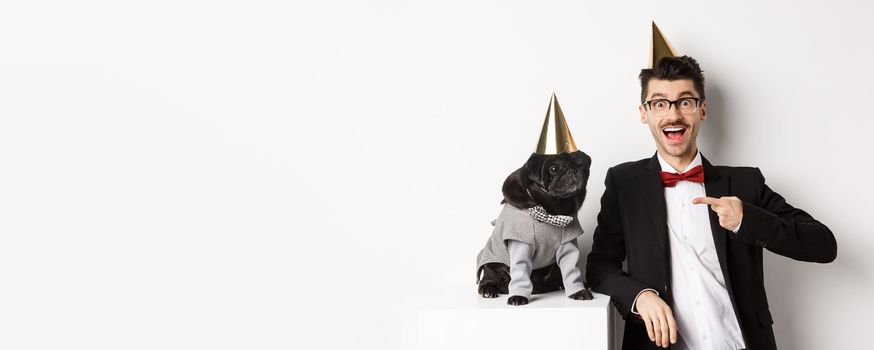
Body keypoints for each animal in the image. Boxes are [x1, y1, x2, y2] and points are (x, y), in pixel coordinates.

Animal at [476, 152, 592, 304]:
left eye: (581, 165)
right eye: (554, 168)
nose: (572, 171)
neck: (554, 209)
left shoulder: (568, 244)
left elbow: (571, 270)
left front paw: (579, 291)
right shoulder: (521, 243)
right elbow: (520, 272)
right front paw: (518, 296)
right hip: (492, 264)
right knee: (487, 279)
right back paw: (488, 290)